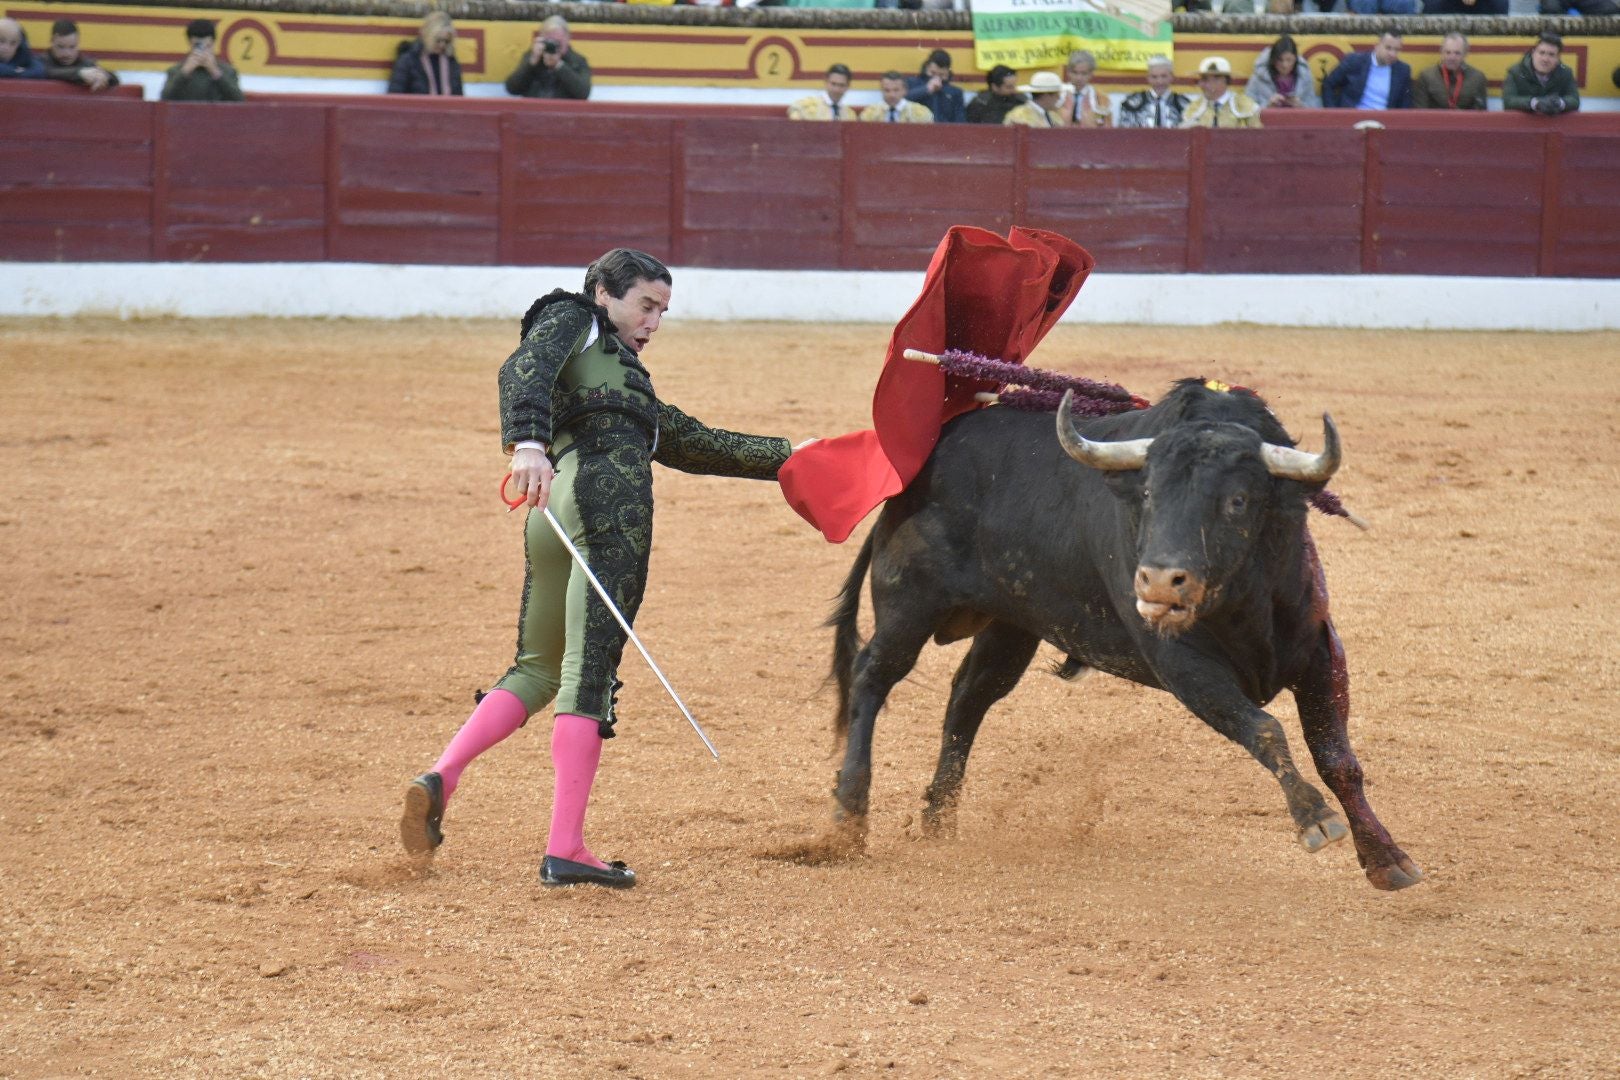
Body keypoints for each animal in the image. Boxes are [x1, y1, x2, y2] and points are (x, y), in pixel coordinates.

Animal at [806, 375, 1419, 893]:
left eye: (1237, 500)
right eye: (1147, 495)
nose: (1158, 580)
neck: (1243, 600)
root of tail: (918, 465)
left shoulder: (1318, 650)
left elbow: (1338, 758)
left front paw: (1387, 860)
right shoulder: (1183, 665)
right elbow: (1264, 728)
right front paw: (1315, 819)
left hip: (1012, 626)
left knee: (967, 700)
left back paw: (939, 818)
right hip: (907, 604)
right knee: (871, 678)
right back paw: (847, 817)